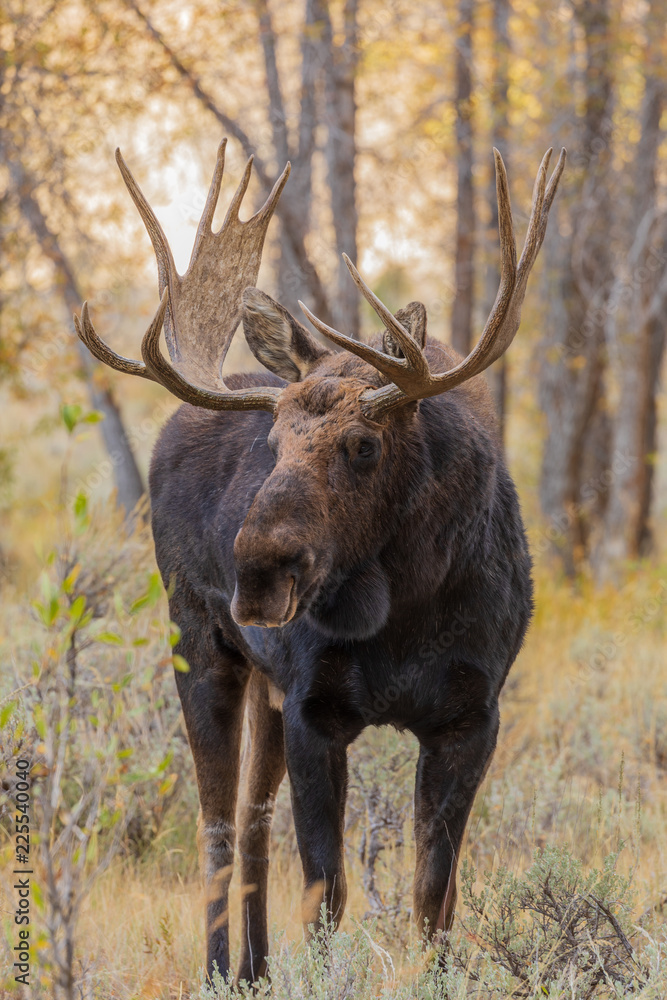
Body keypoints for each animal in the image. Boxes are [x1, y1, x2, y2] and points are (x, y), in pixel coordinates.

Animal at [77, 137, 564, 980]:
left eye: (363, 444)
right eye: (274, 443)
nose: (256, 570)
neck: (404, 609)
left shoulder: (471, 717)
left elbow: (433, 897)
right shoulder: (315, 709)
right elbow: (326, 894)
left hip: (264, 688)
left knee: (249, 820)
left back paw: (254, 971)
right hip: (198, 643)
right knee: (215, 821)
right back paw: (219, 972)